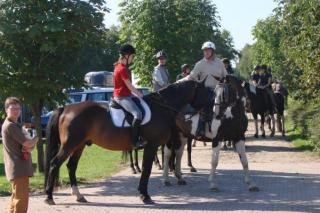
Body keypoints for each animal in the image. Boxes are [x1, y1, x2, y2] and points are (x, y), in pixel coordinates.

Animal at [43, 80, 209, 205]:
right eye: (207, 93)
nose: (206, 115)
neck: (161, 108)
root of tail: (65, 108)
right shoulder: (152, 146)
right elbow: (147, 169)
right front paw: (145, 196)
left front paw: (143, 193)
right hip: (69, 145)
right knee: (54, 164)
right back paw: (49, 197)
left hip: (79, 145)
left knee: (71, 166)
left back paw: (78, 195)